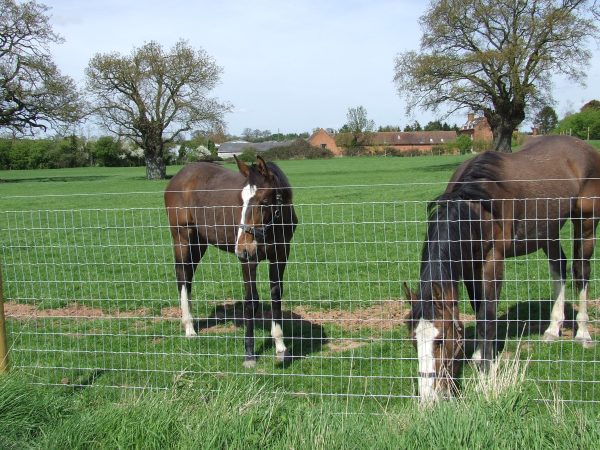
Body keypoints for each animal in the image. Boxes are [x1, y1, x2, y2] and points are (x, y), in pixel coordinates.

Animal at [164, 156, 298, 368]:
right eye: (241, 201)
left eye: (264, 201)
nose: (240, 249)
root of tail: (179, 176)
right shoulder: (249, 261)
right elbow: (251, 301)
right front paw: (249, 354)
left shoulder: (281, 256)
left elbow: (276, 295)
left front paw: (280, 348)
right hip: (183, 238)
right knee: (183, 276)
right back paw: (189, 328)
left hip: (200, 242)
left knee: (188, 275)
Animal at [404, 135, 600, 402]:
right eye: (413, 340)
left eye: (441, 340)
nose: (429, 398)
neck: (478, 202)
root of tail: (586, 148)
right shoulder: (469, 266)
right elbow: (478, 309)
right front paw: (479, 356)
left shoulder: (492, 262)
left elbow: (487, 316)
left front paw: (486, 373)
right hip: (548, 230)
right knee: (558, 267)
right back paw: (552, 329)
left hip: (586, 222)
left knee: (581, 272)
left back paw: (583, 334)